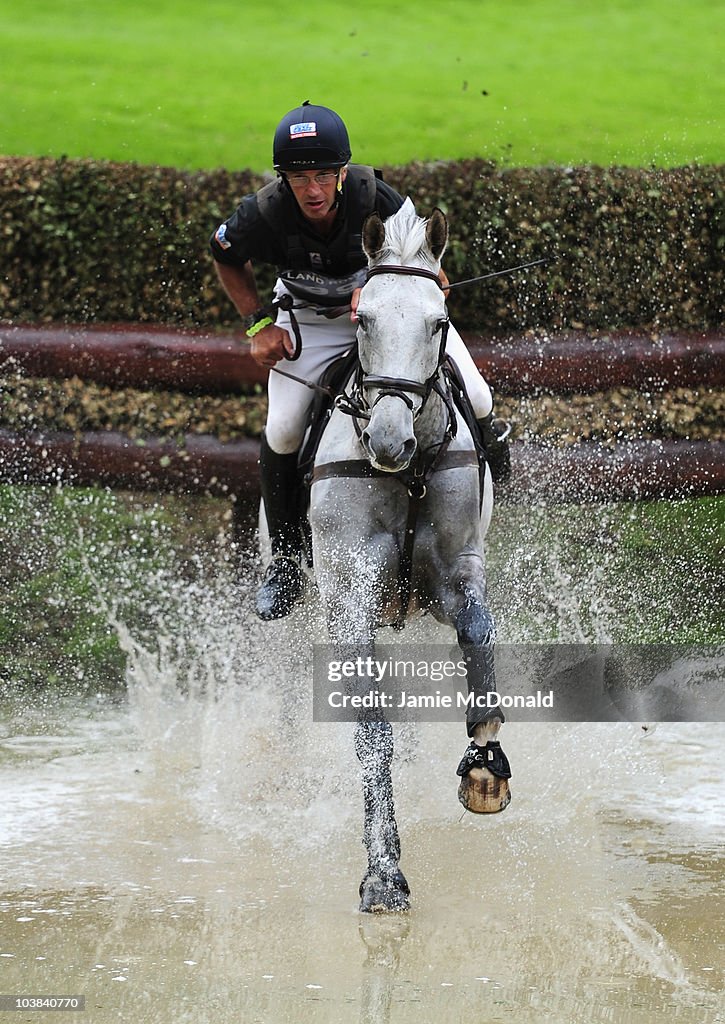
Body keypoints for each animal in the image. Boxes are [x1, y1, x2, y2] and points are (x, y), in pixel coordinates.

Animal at [305, 199, 509, 913]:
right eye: (362, 318)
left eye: (438, 321)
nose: (387, 441)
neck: (409, 473)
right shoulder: (352, 599)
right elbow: (371, 729)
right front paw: (383, 872)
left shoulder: (454, 578)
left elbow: (478, 637)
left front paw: (485, 769)